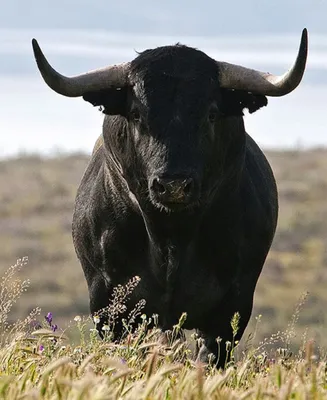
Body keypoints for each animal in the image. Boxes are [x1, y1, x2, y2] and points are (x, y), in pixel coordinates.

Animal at [32, 29, 308, 368]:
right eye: (136, 113)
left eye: (211, 114)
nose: (173, 185)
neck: (171, 237)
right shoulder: (109, 304)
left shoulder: (232, 306)